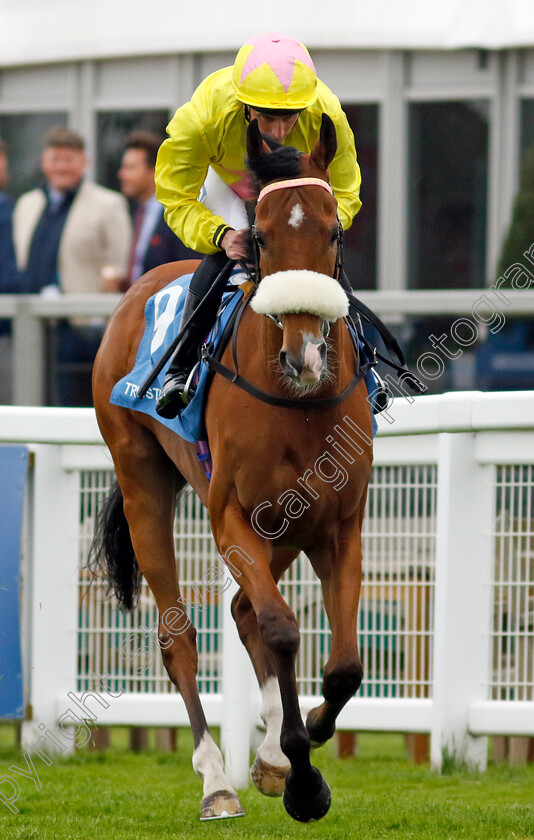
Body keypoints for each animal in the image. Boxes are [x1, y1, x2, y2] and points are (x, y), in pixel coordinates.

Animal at [92, 115, 374, 824]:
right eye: (264, 235)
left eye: (333, 231)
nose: (305, 355)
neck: (299, 405)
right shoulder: (230, 516)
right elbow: (281, 628)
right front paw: (302, 776)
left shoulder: (339, 522)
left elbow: (344, 665)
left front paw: (299, 744)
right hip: (143, 481)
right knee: (181, 637)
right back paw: (217, 780)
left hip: (286, 525)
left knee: (246, 609)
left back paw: (265, 755)